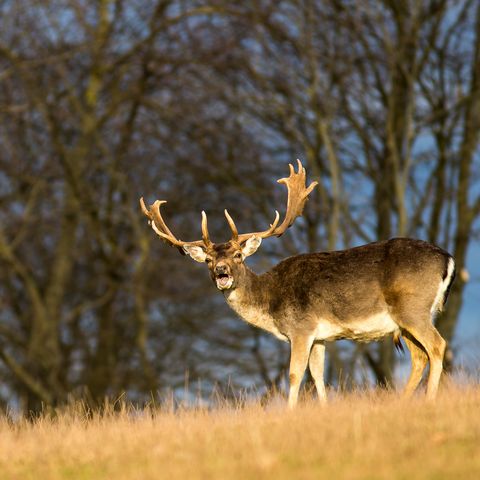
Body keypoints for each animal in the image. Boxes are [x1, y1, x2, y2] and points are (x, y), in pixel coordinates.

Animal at [141, 159, 456, 406]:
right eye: (207, 260)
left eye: (238, 255)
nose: (221, 271)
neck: (270, 303)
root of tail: (448, 259)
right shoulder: (321, 337)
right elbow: (318, 377)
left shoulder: (301, 327)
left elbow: (294, 375)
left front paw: (290, 413)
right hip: (406, 320)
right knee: (419, 356)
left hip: (412, 308)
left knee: (437, 346)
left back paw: (429, 399)